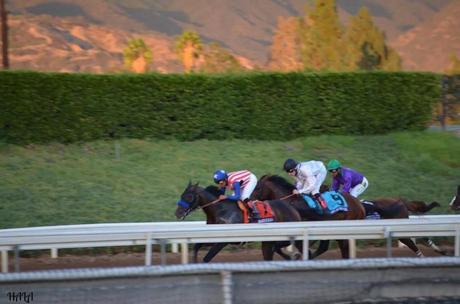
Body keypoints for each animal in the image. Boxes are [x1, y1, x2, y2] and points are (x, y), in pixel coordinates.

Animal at [174, 182, 304, 262]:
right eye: (182, 195)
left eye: (189, 197)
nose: (178, 213)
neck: (220, 210)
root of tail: (291, 207)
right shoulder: (212, 237)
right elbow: (196, 247)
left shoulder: (223, 241)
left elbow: (207, 258)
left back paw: (295, 256)